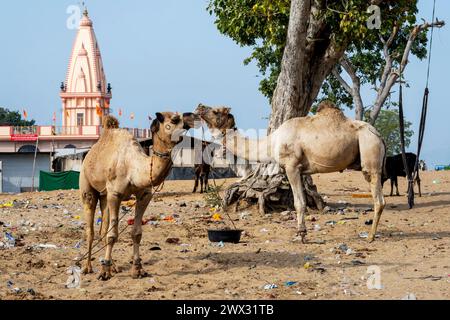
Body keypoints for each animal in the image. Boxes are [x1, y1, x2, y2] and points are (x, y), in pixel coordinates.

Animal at [80, 111, 197, 278]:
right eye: (174, 119)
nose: (193, 116)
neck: (133, 168)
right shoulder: (115, 194)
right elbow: (112, 235)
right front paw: (104, 272)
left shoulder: (144, 195)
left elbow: (136, 233)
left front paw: (138, 269)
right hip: (87, 185)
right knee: (90, 229)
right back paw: (87, 267)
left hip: (104, 196)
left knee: (103, 228)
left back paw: (114, 266)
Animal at [197, 102, 386, 242]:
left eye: (215, 111)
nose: (199, 106)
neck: (272, 142)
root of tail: (379, 135)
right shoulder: (301, 170)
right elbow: (302, 200)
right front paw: (302, 232)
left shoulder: (291, 166)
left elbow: (298, 203)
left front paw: (301, 235)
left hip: (370, 151)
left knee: (379, 199)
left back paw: (370, 236)